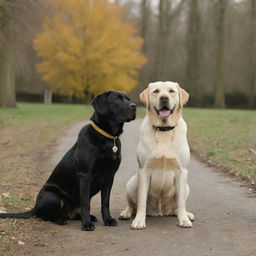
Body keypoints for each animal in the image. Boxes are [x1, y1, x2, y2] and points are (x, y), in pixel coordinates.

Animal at [0, 91, 136, 231]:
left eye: (128, 99)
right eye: (117, 100)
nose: (134, 106)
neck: (108, 138)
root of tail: (34, 207)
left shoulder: (109, 176)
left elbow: (105, 202)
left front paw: (108, 220)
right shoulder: (86, 175)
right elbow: (86, 203)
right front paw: (86, 224)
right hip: (52, 195)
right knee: (45, 216)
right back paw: (61, 219)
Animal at [119, 81, 194, 229]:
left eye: (171, 91)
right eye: (156, 91)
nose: (164, 98)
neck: (164, 130)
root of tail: (160, 212)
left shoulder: (182, 171)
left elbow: (181, 202)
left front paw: (183, 219)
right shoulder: (144, 170)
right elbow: (141, 200)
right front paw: (139, 221)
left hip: (186, 186)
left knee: (177, 206)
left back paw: (186, 214)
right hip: (132, 183)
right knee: (132, 204)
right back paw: (126, 213)